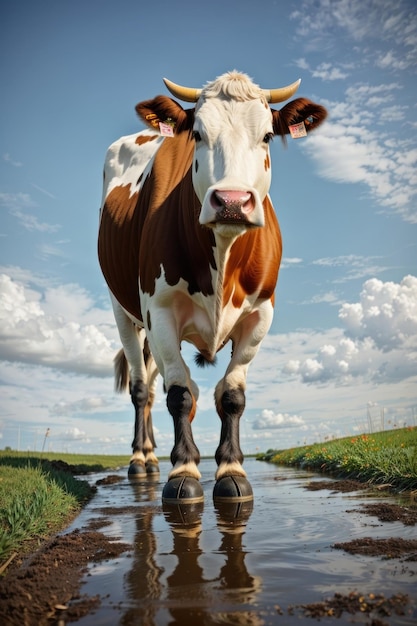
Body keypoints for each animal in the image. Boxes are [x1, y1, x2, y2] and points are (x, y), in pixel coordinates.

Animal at [97, 72, 324, 502]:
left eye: (268, 136)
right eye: (198, 134)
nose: (232, 201)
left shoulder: (261, 313)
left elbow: (231, 394)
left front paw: (231, 469)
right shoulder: (160, 311)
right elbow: (180, 393)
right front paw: (184, 470)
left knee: (153, 385)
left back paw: (151, 456)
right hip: (125, 313)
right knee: (141, 388)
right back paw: (141, 459)